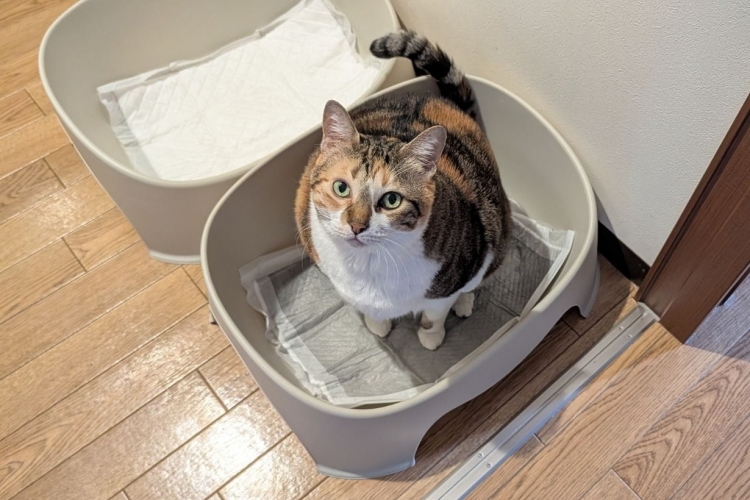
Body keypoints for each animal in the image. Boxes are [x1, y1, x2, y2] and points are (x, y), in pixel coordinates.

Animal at [295, 30, 511, 350]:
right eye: (341, 187)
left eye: (392, 200)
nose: (356, 225)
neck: (368, 264)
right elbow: (369, 310)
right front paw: (377, 324)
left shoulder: (448, 283)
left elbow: (435, 313)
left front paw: (431, 336)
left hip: (495, 228)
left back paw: (465, 302)